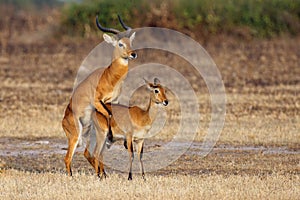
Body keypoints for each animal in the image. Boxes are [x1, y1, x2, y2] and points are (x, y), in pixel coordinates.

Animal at [62, 14, 137, 176]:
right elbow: (109, 115)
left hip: (89, 129)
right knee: (68, 157)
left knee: (87, 153)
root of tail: (63, 120)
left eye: (130, 42)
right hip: (76, 135)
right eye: (120, 44)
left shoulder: (112, 101)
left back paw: (103, 173)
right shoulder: (98, 102)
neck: (109, 76)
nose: (133, 54)